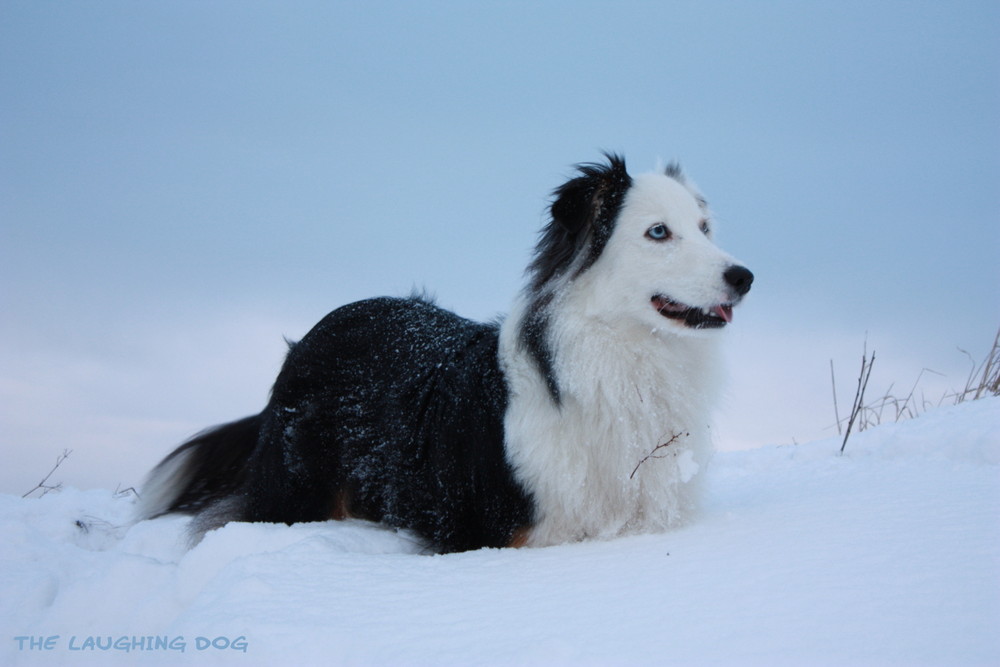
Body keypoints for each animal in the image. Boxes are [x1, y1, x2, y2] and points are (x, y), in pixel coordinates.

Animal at [139, 154, 752, 552]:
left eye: (704, 228)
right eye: (658, 232)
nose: (744, 276)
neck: (624, 356)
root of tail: (321, 327)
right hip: (295, 493)